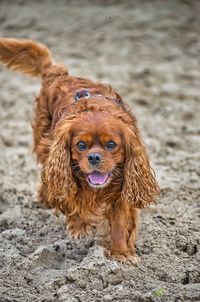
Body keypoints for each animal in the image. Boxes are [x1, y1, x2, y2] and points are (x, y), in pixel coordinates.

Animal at [0, 37, 159, 264]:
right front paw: (79, 228)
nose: (93, 157)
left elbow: (120, 222)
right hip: (45, 143)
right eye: (81, 145)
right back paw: (47, 198)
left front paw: (121, 253)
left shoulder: (122, 188)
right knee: (48, 177)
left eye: (112, 144)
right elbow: (73, 201)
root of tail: (58, 73)